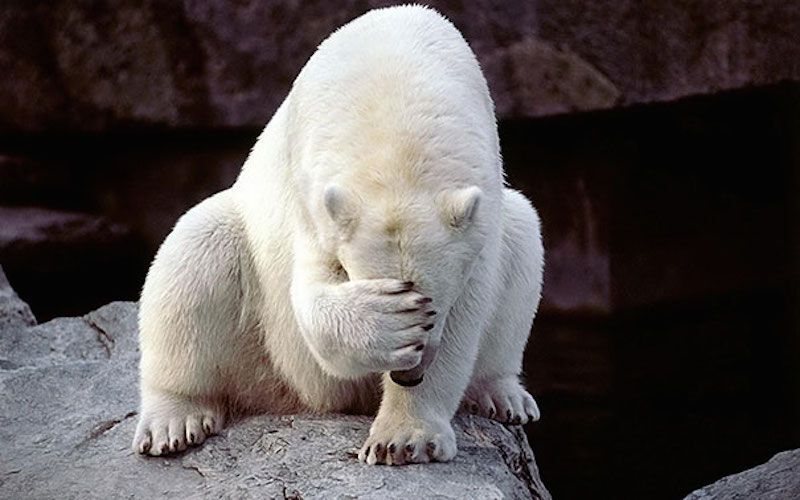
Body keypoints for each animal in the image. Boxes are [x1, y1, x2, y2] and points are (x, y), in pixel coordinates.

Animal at [132, 5, 543, 465]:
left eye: (434, 305)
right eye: (406, 298)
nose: (408, 375)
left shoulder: (481, 209)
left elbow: (469, 310)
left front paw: (403, 439)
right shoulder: (311, 194)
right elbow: (310, 294)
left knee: (523, 235)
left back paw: (502, 394)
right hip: (259, 343)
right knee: (196, 250)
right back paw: (173, 420)